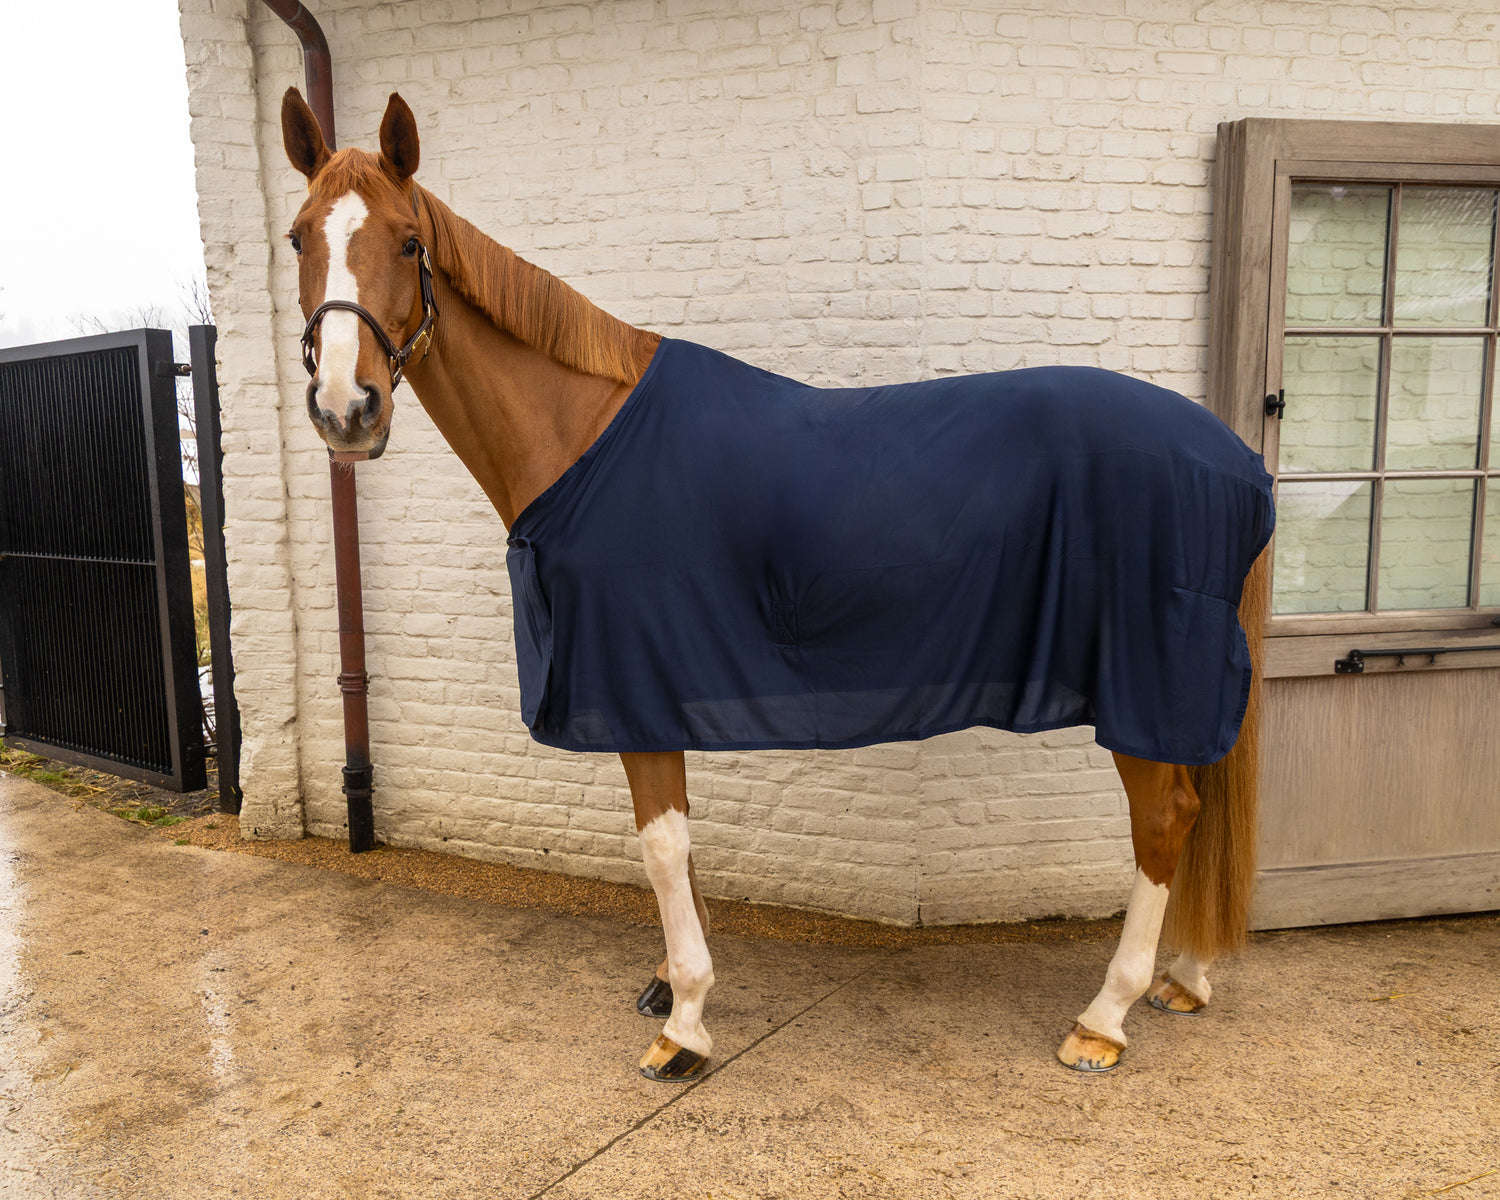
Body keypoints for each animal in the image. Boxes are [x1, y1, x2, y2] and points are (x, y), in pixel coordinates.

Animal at [279, 88, 1273, 1082]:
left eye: (410, 242)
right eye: (296, 238)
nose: (346, 411)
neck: (586, 434)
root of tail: (1236, 460)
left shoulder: (633, 682)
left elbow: (662, 846)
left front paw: (683, 1024)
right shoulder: (654, 688)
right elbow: (681, 845)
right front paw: (669, 985)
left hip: (1145, 685)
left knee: (1166, 819)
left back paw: (1106, 1016)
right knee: (1195, 811)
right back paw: (1184, 977)